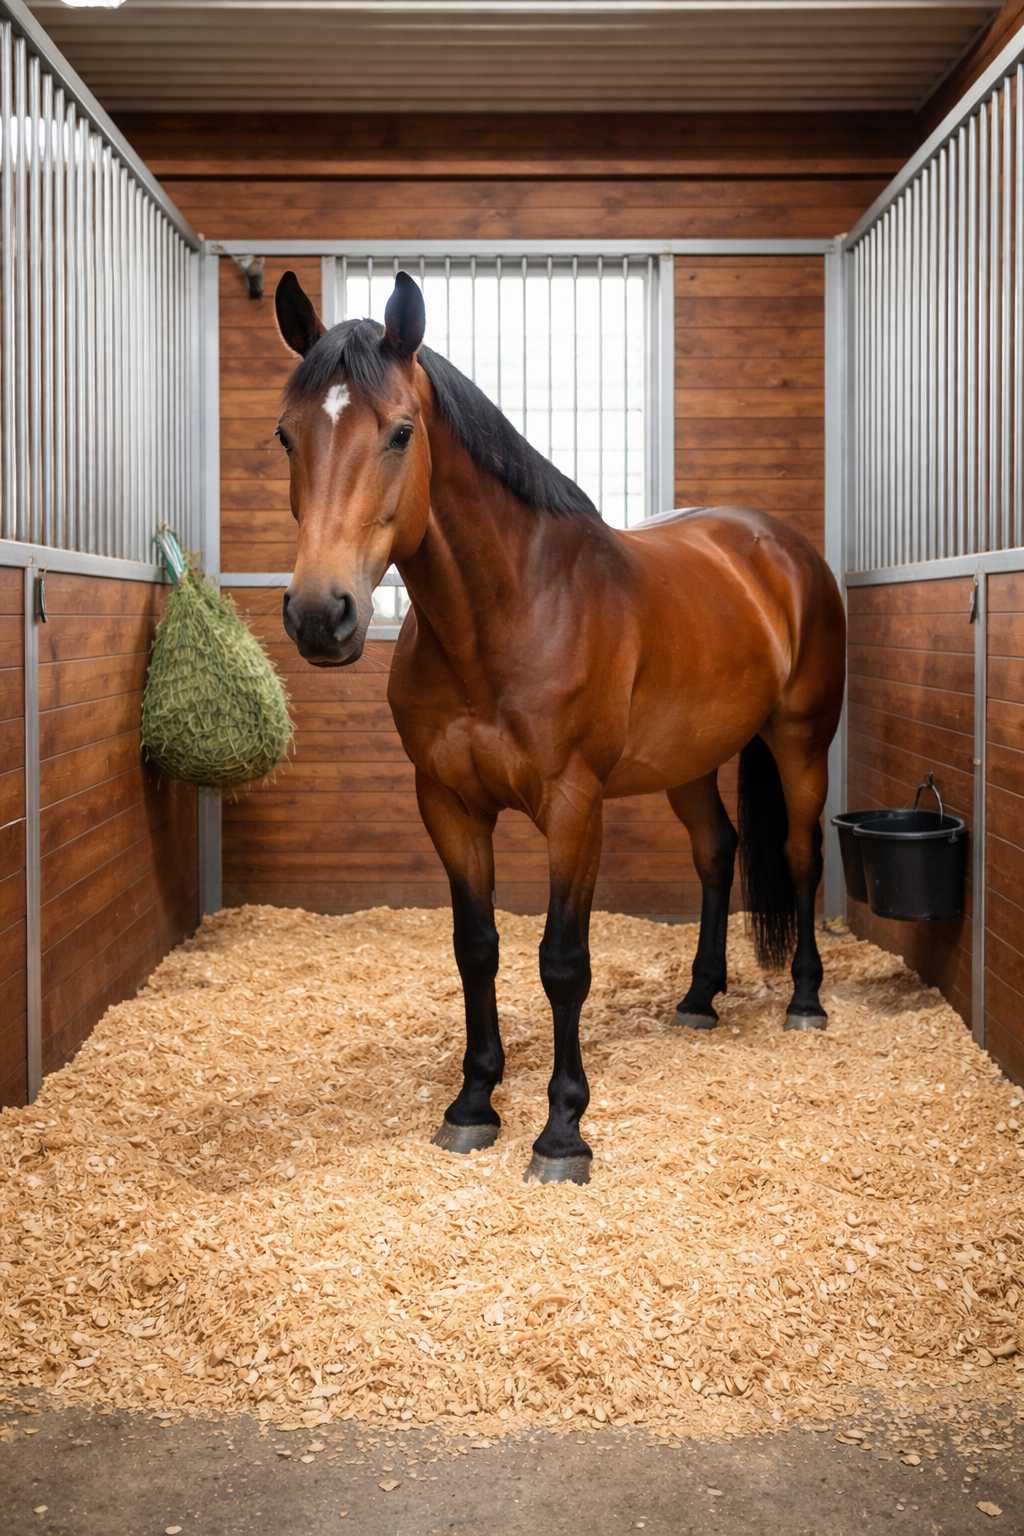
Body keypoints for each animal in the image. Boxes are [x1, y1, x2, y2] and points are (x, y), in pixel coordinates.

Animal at [273, 269, 846, 1186]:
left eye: (400, 432)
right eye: (287, 436)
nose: (322, 616)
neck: (507, 613)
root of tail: (780, 548)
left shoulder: (575, 807)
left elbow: (562, 962)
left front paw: (562, 1131)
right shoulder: (449, 805)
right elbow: (477, 948)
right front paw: (473, 1104)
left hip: (801, 742)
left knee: (797, 853)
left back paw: (804, 999)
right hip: (690, 762)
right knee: (716, 851)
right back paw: (698, 999)